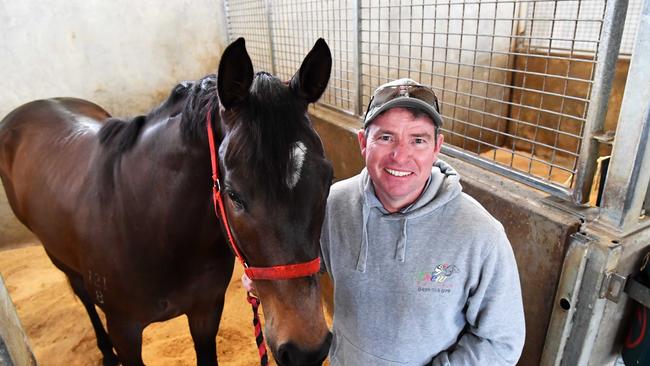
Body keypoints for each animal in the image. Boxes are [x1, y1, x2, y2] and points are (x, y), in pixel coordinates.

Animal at [0, 38, 332, 366]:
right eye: (234, 195)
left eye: (327, 180)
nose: (307, 350)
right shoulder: (125, 331)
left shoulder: (205, 312)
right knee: (81, 294)